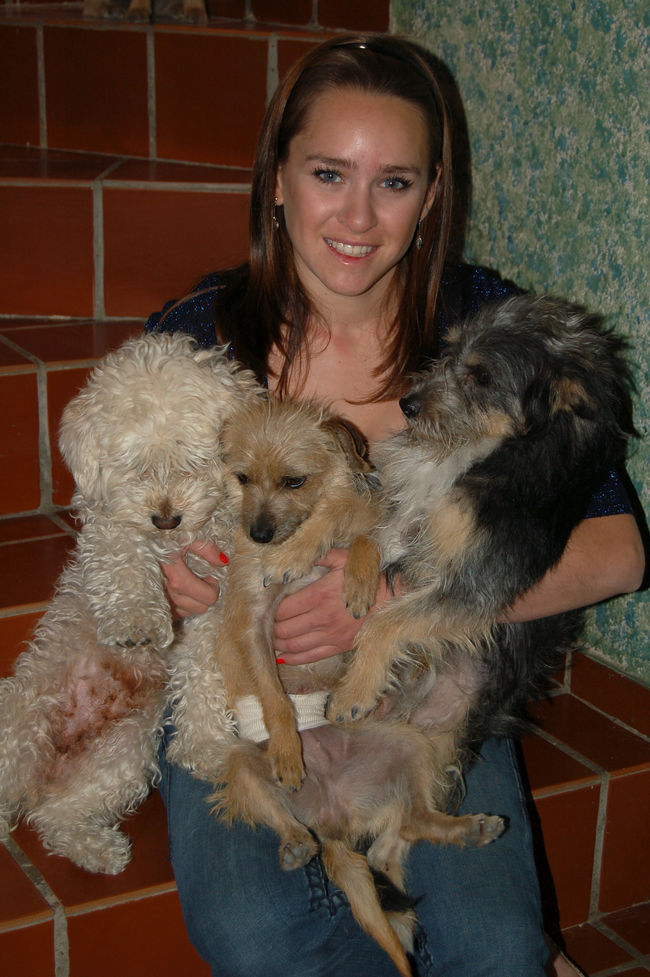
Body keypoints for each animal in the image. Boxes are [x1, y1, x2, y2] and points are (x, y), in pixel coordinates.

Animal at [0, 332, 257, 873]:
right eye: (133, 467)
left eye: (193, 461)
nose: (166, 517)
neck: (174, 543)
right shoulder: (109, 528)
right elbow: (123, 561)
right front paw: (136, 622)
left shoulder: (214, 604)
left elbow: (203, 675)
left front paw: (206, 745)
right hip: (21, 724)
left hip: (124, 757)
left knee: (56, 818)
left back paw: (100, 850)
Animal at [208, 396, 505, 977]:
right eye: (242, 478)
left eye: (294, 481)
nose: (257, 535)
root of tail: (336, 818)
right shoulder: (253, 626)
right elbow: (274, 697)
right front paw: (287, 747)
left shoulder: (363, 529)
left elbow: (361, 533)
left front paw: (360, 579)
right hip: (242, 764)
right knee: (292, 820)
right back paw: (295, 841)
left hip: (408, 747)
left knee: (412, 823)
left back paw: (467, 830)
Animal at [326, 294, 636, 771]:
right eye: (449, 349)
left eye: (483, 376)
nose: (407, 405)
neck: (482, 451)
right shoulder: (405, 518)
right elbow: (370, 537)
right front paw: (358, 583)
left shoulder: (479, 582)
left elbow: (386, 622)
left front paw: (353, 691)